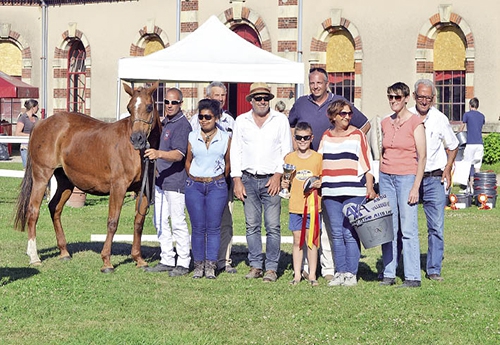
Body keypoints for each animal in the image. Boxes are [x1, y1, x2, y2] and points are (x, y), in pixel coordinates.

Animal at [15, 82, 160, 272]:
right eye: (129, 108)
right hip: (41, 175)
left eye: (149, 107)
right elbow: (112, 222)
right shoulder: (118, 187)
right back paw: (34, 256)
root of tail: (41, 123)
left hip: (65, 181)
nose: (137, 139)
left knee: (54, 207)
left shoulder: (143, 190)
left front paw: (139, 259)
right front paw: (106, 262)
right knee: (33, 210)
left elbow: (139, 223)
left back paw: (64, 252)